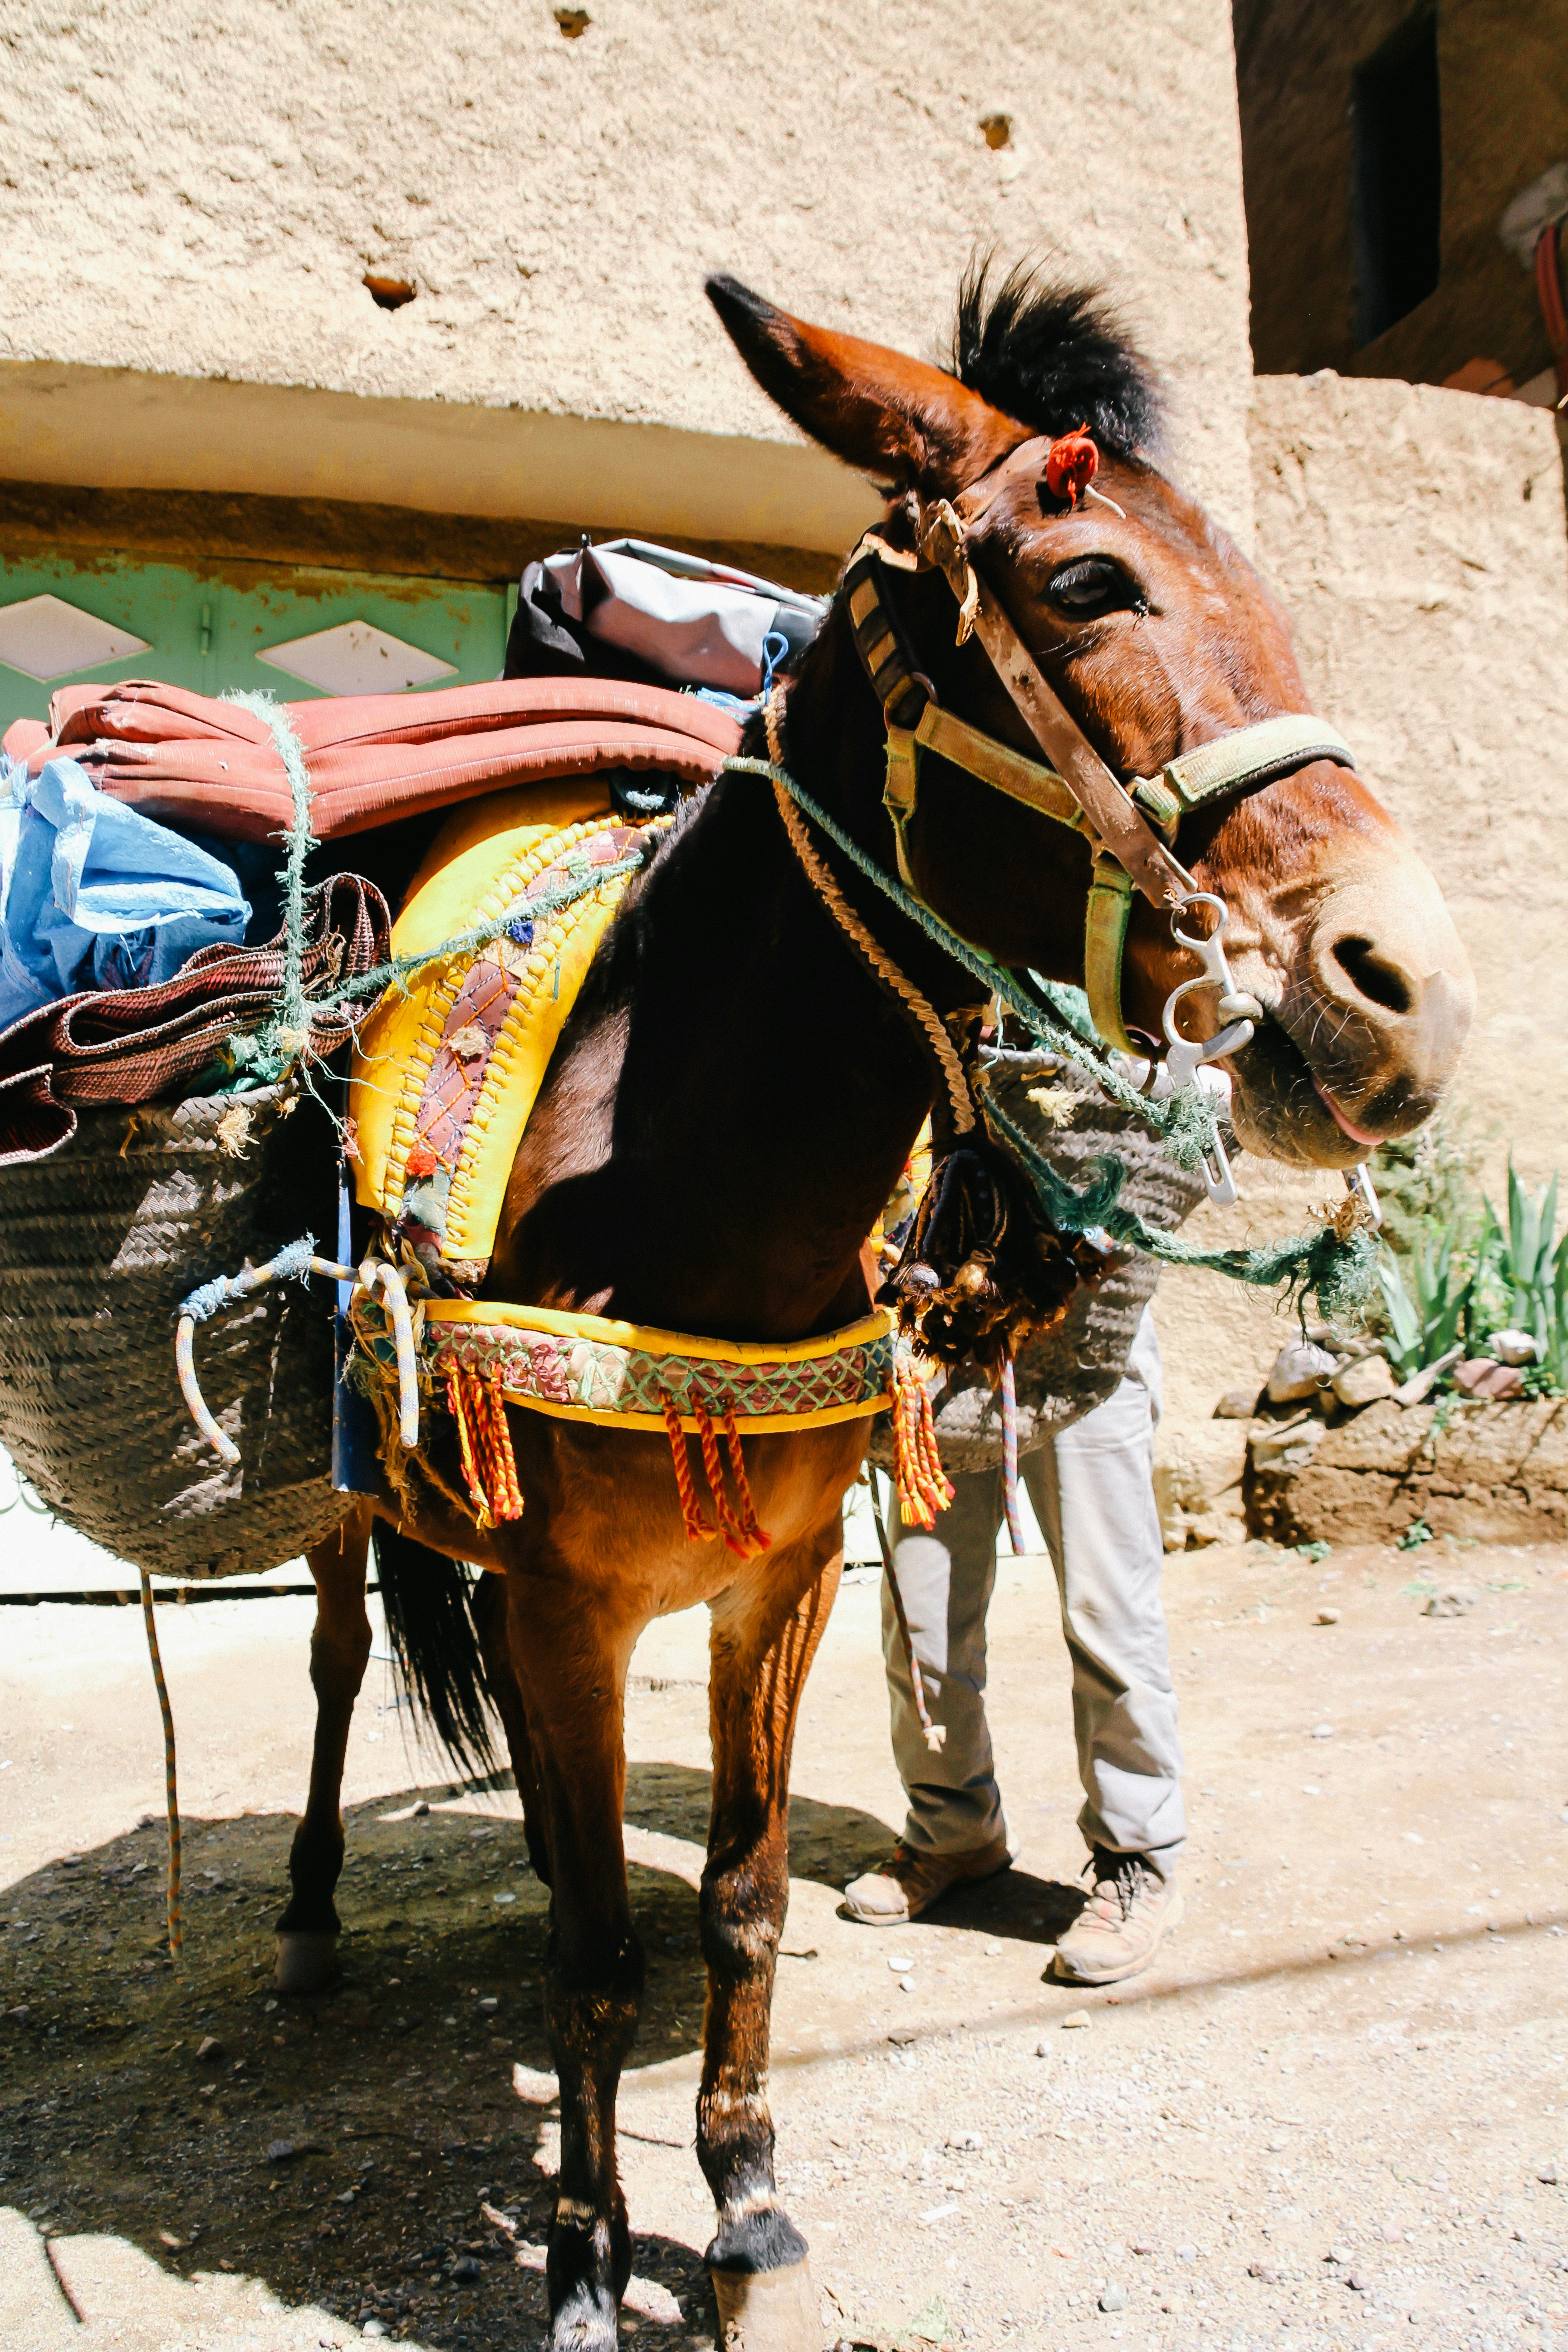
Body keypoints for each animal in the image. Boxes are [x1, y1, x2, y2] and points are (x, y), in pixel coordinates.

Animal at [268, 264, 1475, 2352]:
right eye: (1087, 583)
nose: (1407, 989)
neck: (687, 1198)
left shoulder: (775, 1583)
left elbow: (732, 1904)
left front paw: (745, 2210)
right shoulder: (567, 1605)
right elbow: (596, 1954)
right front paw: (584, 2259)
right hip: (360, 1499)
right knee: (344, 1661)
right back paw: (312, 1908)